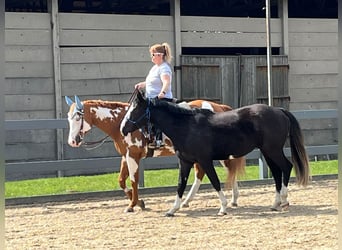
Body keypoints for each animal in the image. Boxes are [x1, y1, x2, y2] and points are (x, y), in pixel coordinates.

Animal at [65, 95, 246, 213]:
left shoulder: (133, 156)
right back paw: (189, 201)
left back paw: (233, 199)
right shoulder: (125, 156)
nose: (72, 141)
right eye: (68, 117)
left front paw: (132, 205)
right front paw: (139, 202)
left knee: (228, 169)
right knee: (202, 174)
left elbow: (133, 180)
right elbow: (121, 181)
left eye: (77, 118)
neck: (120, 122)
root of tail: (219, 107)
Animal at [121, 91, 312, 216]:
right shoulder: (185, 162)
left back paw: (284, 201)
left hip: (273, 150)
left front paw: (223, 208)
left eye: (135, 109)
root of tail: (279, 111)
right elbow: (180, 185)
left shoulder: (205, 160)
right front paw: (173, 209)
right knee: (277, 172)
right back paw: (275, 203)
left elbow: (215, 182)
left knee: (286, 167)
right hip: (267, 152)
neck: (186, 127)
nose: (122, 129)